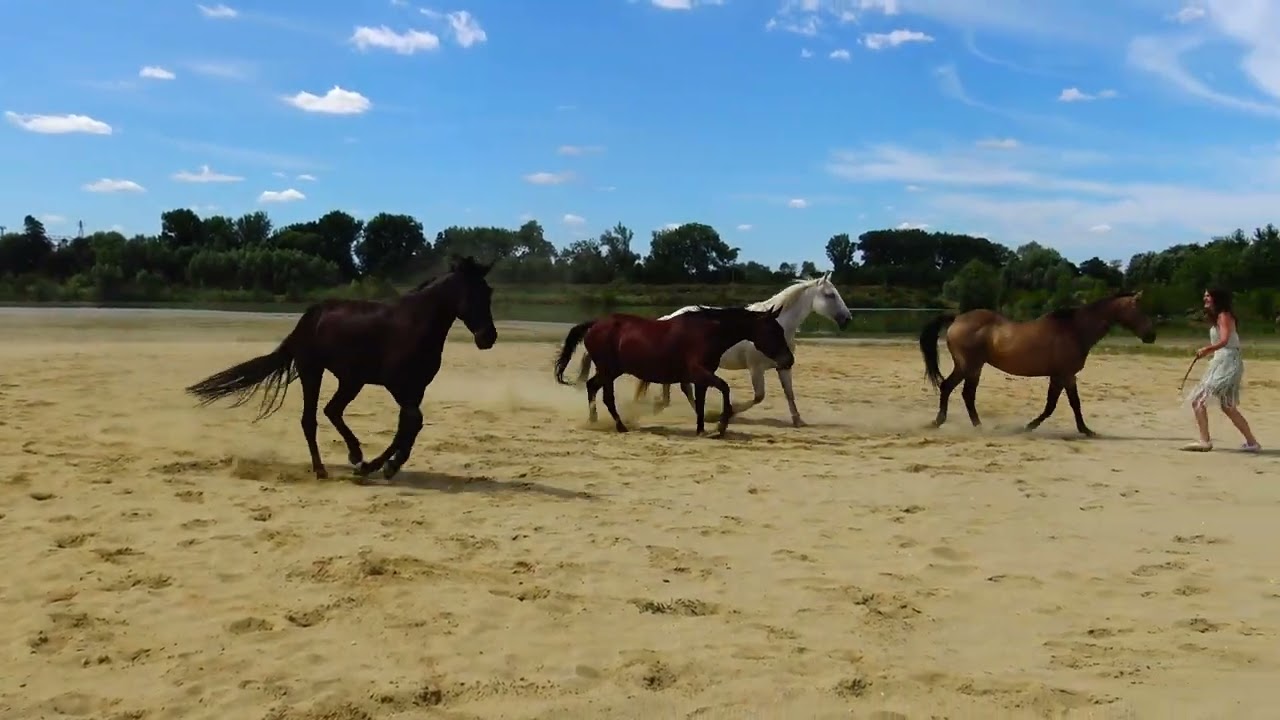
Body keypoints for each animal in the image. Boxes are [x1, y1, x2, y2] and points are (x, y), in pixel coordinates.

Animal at [184, 255, 498, 481]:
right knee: (310, 420)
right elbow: (411, 424)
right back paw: (322, 469)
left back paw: (355, 456)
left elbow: (408, 427)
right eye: (471, 293)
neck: (416, 324)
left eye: (489, 291)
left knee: (331, 411)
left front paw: (380, 466)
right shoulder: (399, 387)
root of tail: (308, 319)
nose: (488, 337)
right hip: (314, 372)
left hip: (351, 380)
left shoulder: (415, 388)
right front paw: (380, 466)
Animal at [553, 306, 795, 437]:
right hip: (609, 370)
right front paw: (721, 425)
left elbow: (700, 403)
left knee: (592, 387)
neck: (707, 333)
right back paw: (619, 426)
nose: (789, 360)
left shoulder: (700, 378)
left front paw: (702, 429)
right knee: (605, 395)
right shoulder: (700, 372)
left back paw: (594, 421)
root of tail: (595, 324)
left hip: (610, 371)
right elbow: (725, 389)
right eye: (773, 331)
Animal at [632, 273, 852, 426]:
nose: (847, 319)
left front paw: (798, 421)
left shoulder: (784, 366)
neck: (776, 326)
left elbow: (789, 393)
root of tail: (668, 318)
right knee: (682, 387)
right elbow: (758, 397)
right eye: (830, 295)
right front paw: (725, 413)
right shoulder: (756, 369)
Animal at [918, 291, 1156, 436]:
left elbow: (1054, 404)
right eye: (1139, 310)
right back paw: (945, 422)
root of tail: (957, 319)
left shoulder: (1059, 376)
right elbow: (1069, 404)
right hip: (969, 366)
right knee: (951, 388)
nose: (1151, 335)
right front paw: (1085, 430)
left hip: (974, 368)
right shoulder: (1066, 375)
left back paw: (974, 425)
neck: (1075, 329)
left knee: (964, 394)